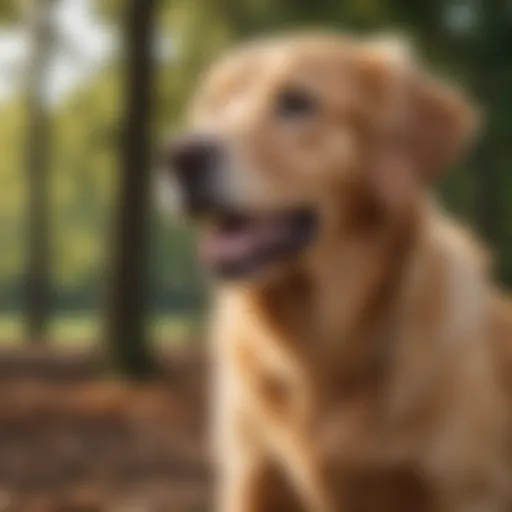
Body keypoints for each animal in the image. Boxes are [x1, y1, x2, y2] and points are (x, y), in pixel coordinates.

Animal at [162, 33, 512, 512]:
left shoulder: (464, 488)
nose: (179, 157)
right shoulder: (252, 477)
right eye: (215, 106)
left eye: (296, 102)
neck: (320, 353)